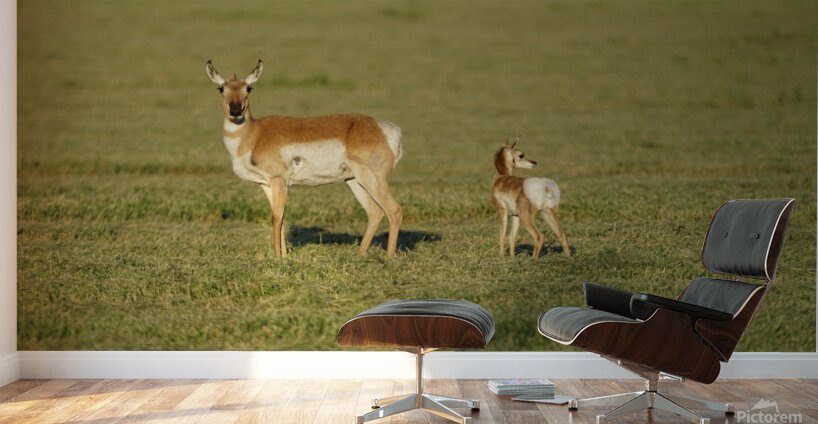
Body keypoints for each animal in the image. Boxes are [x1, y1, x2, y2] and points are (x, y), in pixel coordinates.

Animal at [205, 60, 403, 257]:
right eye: (221, 88)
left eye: (249, 88)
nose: (235, 111)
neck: (254, 134)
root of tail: (385, 129)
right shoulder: (266, 184)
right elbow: (281, 217)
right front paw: (284, 257)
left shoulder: (279, 180)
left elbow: (276, 217)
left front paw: (277, 257)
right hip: (354, 181)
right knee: (375, 213)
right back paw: (360, 255)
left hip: (371, 180)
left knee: (394, 210)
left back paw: (388, 257)